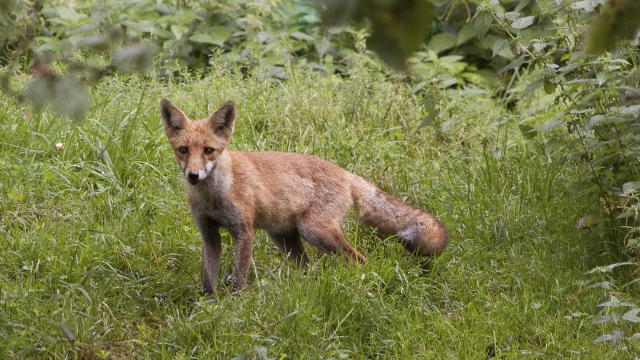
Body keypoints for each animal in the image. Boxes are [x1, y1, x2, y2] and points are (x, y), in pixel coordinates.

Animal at [161, 99, 450, 296]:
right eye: (183, 150)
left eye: (208, 150)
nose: (193, 175)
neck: (214, 197)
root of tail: (345, 172)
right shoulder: (209, 234)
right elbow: (208, 279)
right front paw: (209, 308)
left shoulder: (244, 231)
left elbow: (238, 278)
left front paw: (233, 307)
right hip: (284, 238)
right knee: (309, 268)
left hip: (315, 231)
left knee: (360, 260)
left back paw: (359, 288)